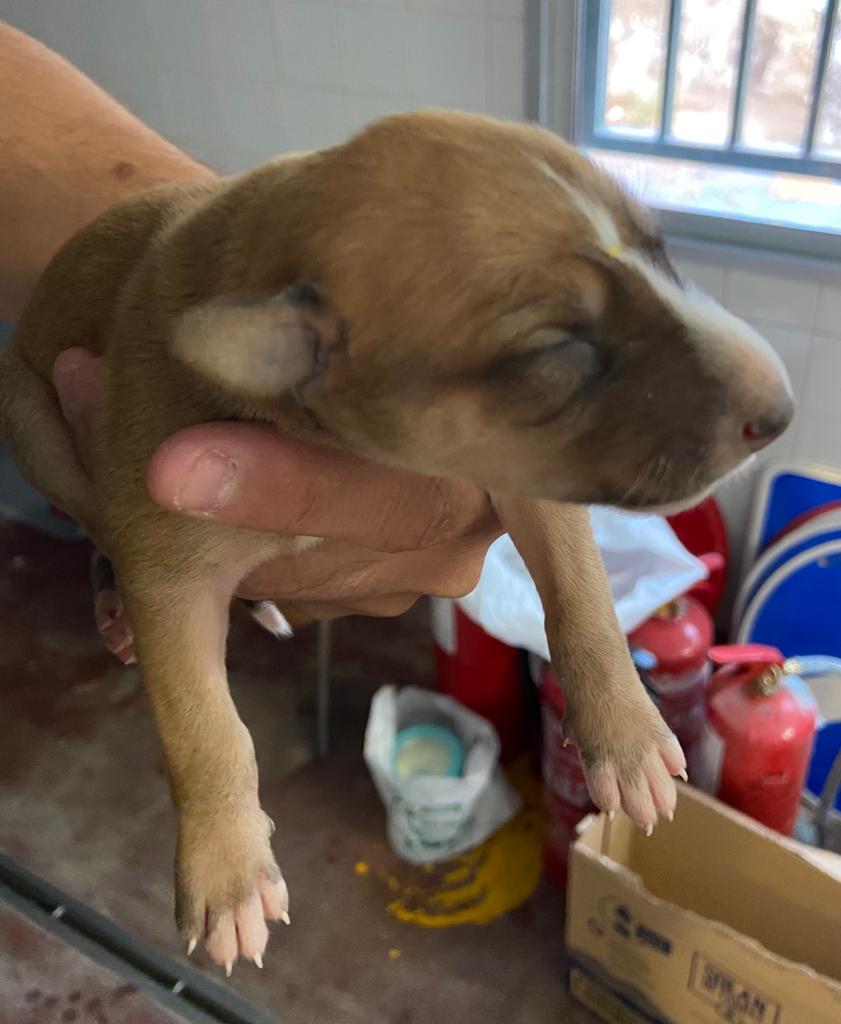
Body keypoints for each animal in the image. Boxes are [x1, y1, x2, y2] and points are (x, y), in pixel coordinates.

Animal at [0, 110, 790, 966]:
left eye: (662, 251)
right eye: (558, 349)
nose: (779, 412)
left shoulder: (527, 481)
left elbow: (583, 604)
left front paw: (629, 736)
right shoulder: (168, 565)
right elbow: (204, 730)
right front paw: (226, 871)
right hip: (37, 429)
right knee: (96, 531)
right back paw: (115, 610)